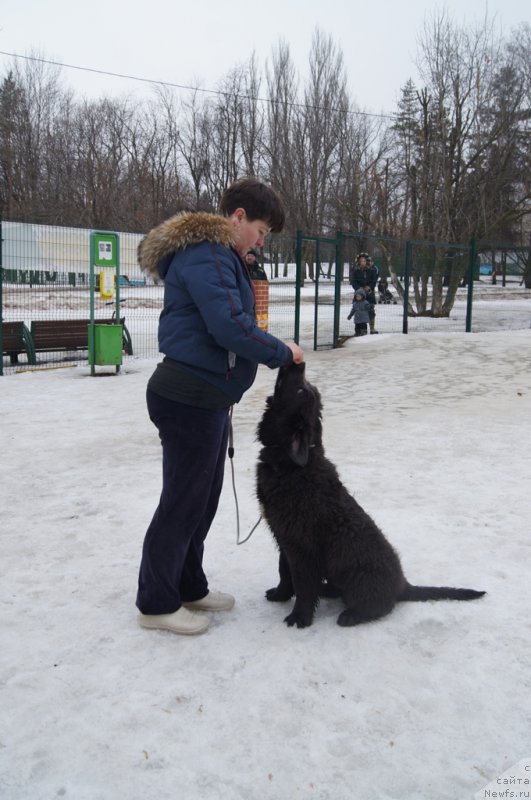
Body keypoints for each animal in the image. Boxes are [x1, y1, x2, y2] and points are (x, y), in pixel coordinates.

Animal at [258, 364, 486, 632]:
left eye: (302, 389)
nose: (299, 364)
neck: (290, 468)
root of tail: (402, 585)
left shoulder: (302, 548)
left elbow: (303, 585)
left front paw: (299, 617)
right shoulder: (285, 539)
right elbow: (284, 571)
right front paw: (280, 595)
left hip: (360, 582)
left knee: (380, 606)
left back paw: (351, 615)